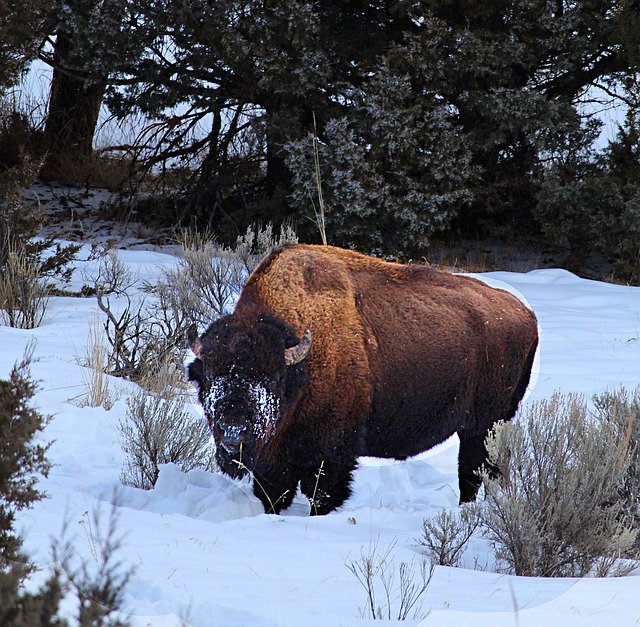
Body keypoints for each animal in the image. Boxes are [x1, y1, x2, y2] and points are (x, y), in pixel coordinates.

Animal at [188, 244, 536, 516]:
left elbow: (323, 496)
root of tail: (524, 314)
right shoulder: (274, 463)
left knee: (474, 472)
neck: (301, 366)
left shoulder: (332, 456)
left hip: (485, 425)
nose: (233, 434)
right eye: (210, 375)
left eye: (272, 378)